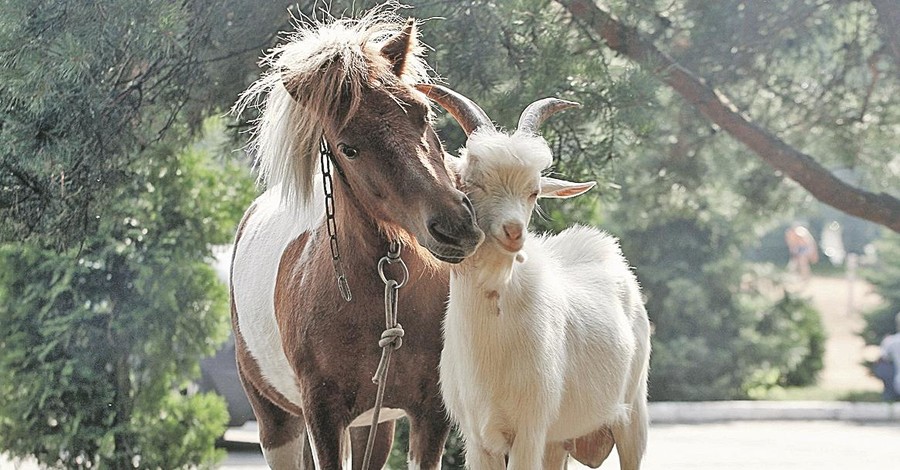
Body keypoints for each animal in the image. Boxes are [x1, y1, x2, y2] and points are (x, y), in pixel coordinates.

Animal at [232, 11, 486, 470]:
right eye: (348, 148)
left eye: (423, 114)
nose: (454, 225)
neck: (386, 292)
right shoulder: (323, 416)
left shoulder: (430, 414)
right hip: (275, 420)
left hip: (374, 424)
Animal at [418, 85, 652, 470]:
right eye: (471, 182)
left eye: (534, 191)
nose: (514, 232)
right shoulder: (478, 440)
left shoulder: (529, 430)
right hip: (558, 439)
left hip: (632, 415)